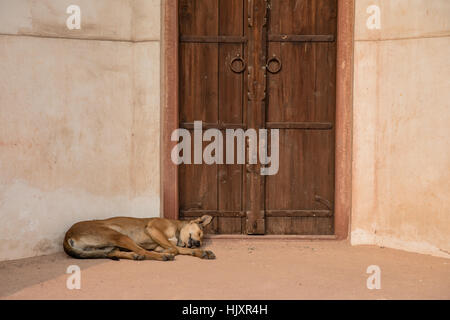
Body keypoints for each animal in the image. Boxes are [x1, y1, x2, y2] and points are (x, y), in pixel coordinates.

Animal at [63, 214, 216, 262]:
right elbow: (175, 249)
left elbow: (181, 249)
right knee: (143, 251)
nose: (198, 244)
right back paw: (162, 257)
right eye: (200, 234)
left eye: (201, 239)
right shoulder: (154, 230)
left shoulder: (160, 244)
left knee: (112, 252)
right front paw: (168, 252)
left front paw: (202, 252)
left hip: (110, 245)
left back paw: (134, 256)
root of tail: (67, 234)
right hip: (119, 235)